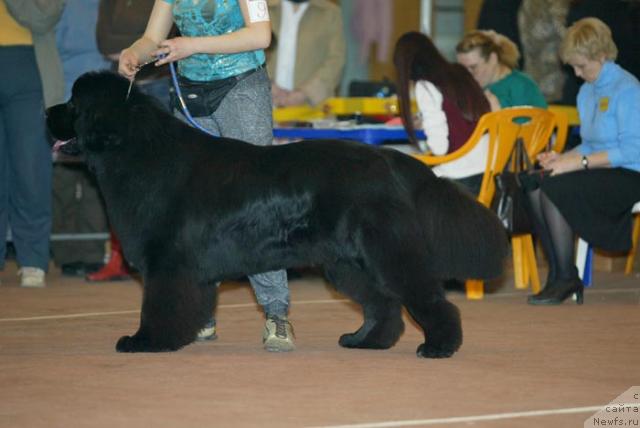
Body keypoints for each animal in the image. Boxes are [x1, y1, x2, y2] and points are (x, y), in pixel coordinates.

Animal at [45, 71, 508, 358]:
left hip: (385, 252)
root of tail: (389, 157)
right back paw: (365, 341)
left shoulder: (167, 263)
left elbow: (158, 306)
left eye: (73, 104)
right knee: (383, 305)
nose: (46, 112)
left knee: (425, 297)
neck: (138, 149)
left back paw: (439, 346)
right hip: (347, 262)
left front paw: (146, 341)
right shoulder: (188, 269)